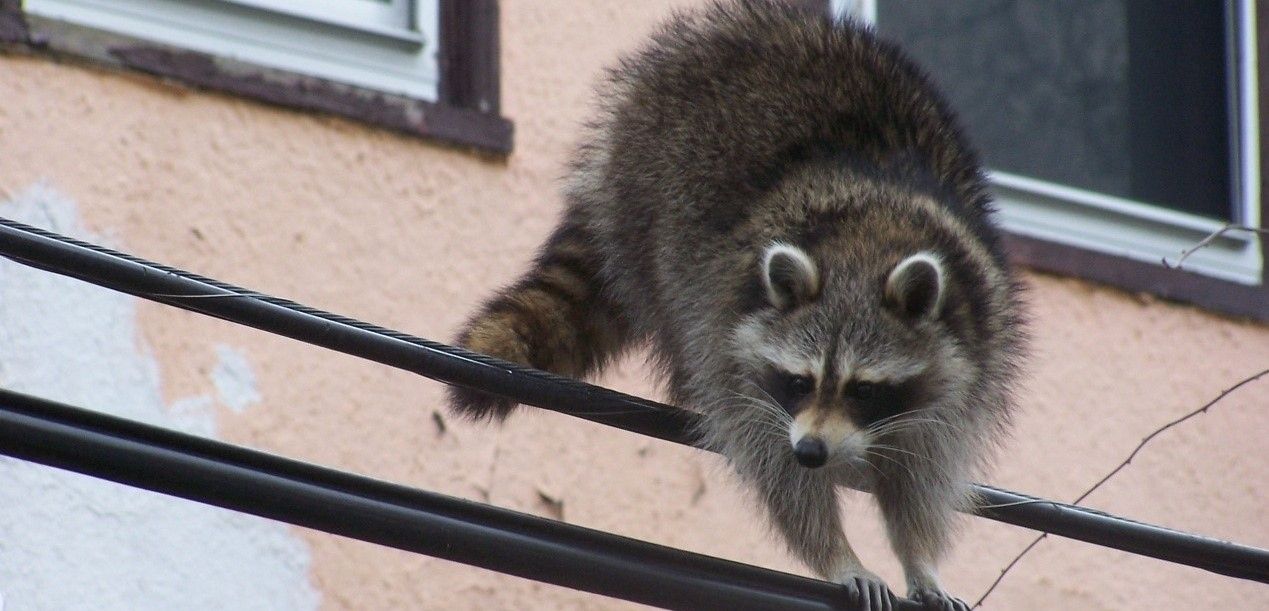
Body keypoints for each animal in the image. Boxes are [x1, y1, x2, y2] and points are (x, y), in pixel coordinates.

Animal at [446, 2, 1020, 607]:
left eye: (864, 389)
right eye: (798, 381)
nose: (812, 451)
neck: (865, 246)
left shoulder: (974, 348)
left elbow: (922, 469)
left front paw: (920, 557)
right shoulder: (731, 338)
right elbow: (773, 464)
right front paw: (837, 554)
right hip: (648, 188)